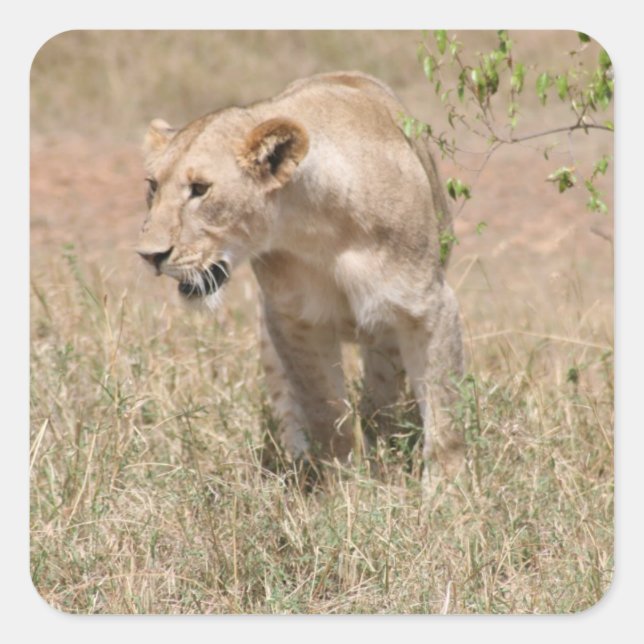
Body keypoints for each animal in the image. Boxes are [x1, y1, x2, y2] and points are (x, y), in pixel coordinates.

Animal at [136, 71, 465, 484]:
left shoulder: (428, 308)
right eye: (152, 186)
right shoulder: (293, 319)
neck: (317, 228)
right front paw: (339, 486)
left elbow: (444, 415)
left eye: (200, 189)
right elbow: (325, 411)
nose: (149, 255)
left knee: (382, 394)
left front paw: (448, 491)